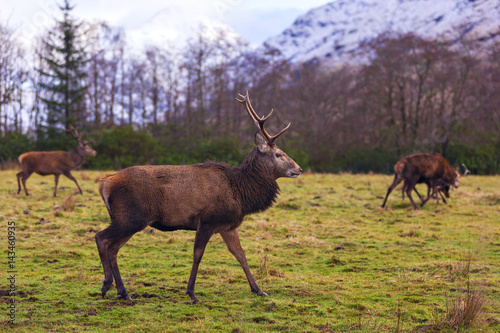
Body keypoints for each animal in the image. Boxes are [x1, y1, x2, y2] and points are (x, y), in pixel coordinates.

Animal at [95, 92, 302, 302]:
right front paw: (192, 293)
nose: (299, 169)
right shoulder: (207, 220)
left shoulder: (229, 226)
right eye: (278, 154)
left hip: (129, 220)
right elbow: (198, 255)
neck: (241, 193)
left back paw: (123, 291)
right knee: (100, 238)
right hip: (130, 218)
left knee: (113, 249)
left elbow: (240, 255)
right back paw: (106, 284)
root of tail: (105, 183)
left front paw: (258, 289)